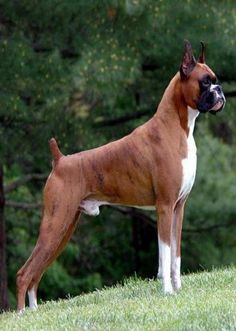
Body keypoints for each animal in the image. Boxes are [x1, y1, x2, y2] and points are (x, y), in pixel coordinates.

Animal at [15, 40, 226, 312]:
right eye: (204, 82)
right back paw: (22, 314)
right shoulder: (165, 207)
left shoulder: (179, 208)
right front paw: (167, 291)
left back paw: (34, 310)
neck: (177, 127)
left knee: (36, 272)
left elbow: (175, 255)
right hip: (55, 223)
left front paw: (178, 289)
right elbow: (164, 253)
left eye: (215, 80)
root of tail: (60, 160)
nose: (220, 91)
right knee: (24, 273)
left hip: (64, 227)